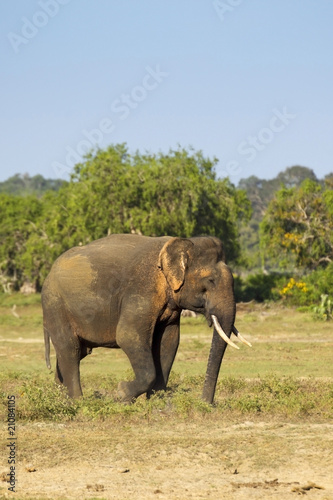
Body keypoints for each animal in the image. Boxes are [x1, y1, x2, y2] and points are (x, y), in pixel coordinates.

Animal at [42, 233, 249, 402]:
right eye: (211, 281)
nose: (206, 403)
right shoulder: (141, 291)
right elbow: (128, 336)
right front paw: (122, 393)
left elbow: (169, 341)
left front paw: (157, 402)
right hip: (55, 305)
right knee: (70, 349)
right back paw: (77, 402)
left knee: (76, 352)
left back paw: (60, 399)